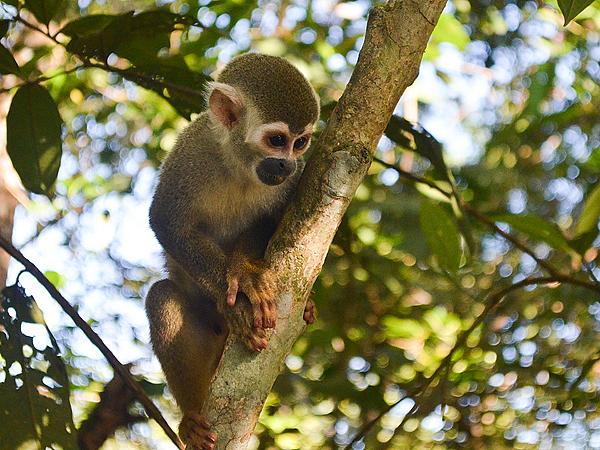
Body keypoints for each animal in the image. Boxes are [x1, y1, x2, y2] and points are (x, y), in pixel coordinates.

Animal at [146, 54, 322, 448]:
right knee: (161, 296)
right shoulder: (190, 152)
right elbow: (166, 222)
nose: (286, 164)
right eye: (277, 140)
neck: (239, 165)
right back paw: (192, 416)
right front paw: (241, 301)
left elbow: (275, 220)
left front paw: (245, 272)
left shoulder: (296, 177)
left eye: (300, 143)